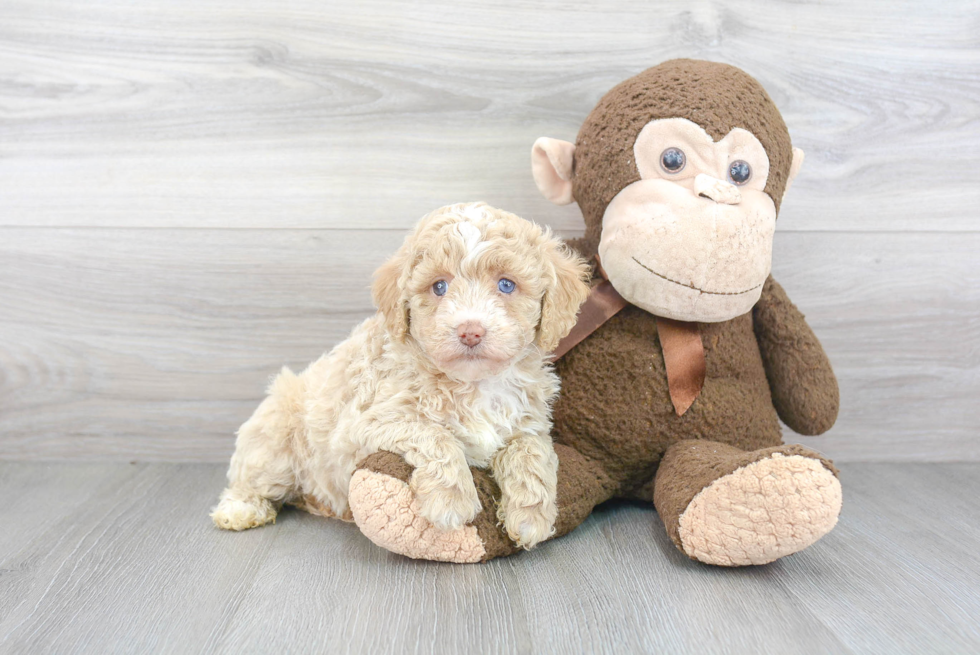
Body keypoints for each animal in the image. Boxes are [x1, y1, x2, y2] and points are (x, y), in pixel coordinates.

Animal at [209, 202, 588, 552]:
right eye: (439, 287)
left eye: (506, 285)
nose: (470, 331)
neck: (474, 383)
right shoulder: (366, 423)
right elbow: (434, 435)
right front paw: (451, 500)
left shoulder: (529, 424)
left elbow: (531, 453)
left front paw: (531, 517)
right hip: (275, 440)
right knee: (251, 479)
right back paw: (241, 509)